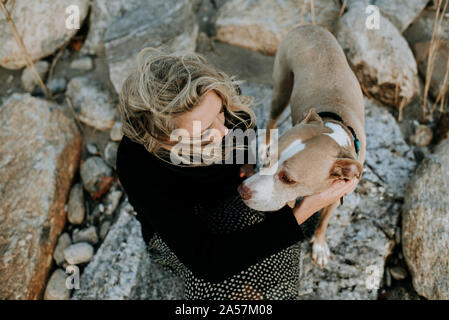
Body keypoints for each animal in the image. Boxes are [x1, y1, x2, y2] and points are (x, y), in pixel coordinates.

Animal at [236, 25, 366, 268]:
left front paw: (320, 244)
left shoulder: (337, 195)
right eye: (270, 160)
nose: (242, 190)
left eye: (288, 179)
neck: (335, 128)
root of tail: (309, 26)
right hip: (282, 88)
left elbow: (324, 220)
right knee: (272, 117)